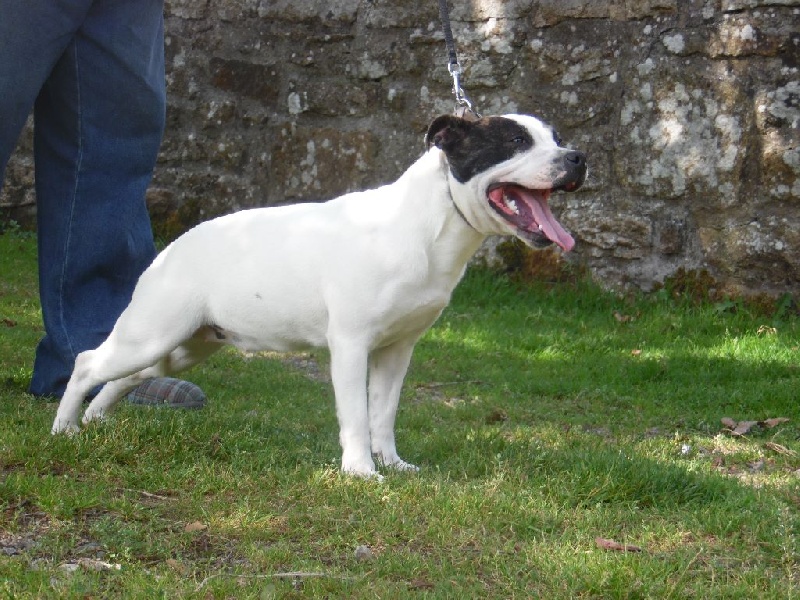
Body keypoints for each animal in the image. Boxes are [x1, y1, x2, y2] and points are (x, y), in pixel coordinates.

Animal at [50, 112, 588, 478]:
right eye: (515, 141)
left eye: (558, 139)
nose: (578, 158)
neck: (426, 225)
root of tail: (172, 249)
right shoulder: (351, 344)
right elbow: (356, 414)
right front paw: (361, 472)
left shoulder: (397, 350)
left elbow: (384, 413)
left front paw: (393, 464)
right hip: (153, 332)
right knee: (87, 362)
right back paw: (63, 430)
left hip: (182, 346)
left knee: (128, 376)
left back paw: (94, 422)